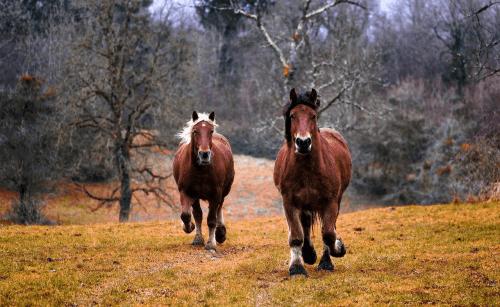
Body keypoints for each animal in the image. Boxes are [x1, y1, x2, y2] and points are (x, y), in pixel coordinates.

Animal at [173, 112, 235, 251]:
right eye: (195, 131)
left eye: (210, 131)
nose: (204, 154)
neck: (201, 170)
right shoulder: (187, 192)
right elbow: (188, 215)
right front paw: (192, 231)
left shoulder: (215, 193)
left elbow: (211, 219)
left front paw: (211, 243)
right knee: (198, 214)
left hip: (223, 192)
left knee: (219, 208)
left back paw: (220, 233)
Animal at [274, 88, 352, 276]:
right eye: (293, 115)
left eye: (313, 116)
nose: (303, 143)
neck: (307, 169)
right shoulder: (289, 202)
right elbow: (296, 236)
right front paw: (297, 267)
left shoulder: (330, 202)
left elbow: (329, 233)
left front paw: (337, 251)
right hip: (305, 204)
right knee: (306, 224)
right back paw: (308, 254)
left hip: (334, 201)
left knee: (327, 227)